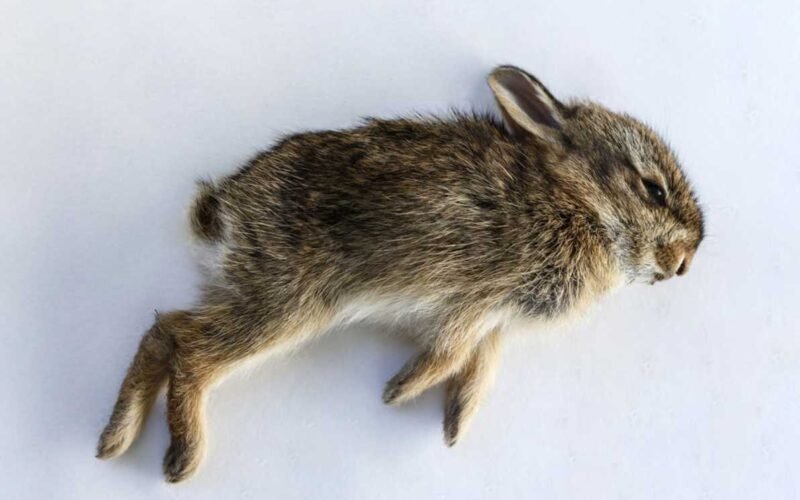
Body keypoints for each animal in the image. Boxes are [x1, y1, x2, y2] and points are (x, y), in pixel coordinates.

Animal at [96, 65, 704, 482]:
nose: (684, 263)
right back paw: (182, 457)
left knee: (165, 329)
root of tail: (221, 214)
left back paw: (115, 439)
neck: (580, 204)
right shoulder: (476, 296)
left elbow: (479, 366)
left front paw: (454, 424)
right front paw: (399, 391)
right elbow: (451, 352)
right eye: (653, 189)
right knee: (191, 349)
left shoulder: (496, 324)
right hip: (289, 302)